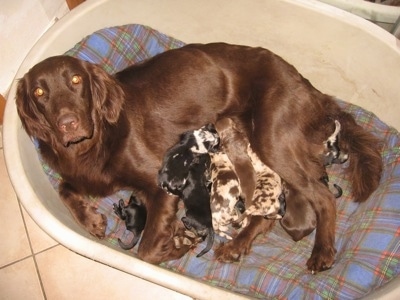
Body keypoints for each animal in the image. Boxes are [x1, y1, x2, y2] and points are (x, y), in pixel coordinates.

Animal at [15, 42, 382, 272]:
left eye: (76, 80)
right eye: (39, 91)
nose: (68, 123)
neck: (89, 146)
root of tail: (309, 87)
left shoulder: (159, 184)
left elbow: (146, 250)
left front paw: (175, 246)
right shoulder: (85, 177)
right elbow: (65, 188)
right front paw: (92, 220)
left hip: (273, 137)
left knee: (322, 197)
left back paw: (321, 252)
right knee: (270, 211)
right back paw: (236, 246)